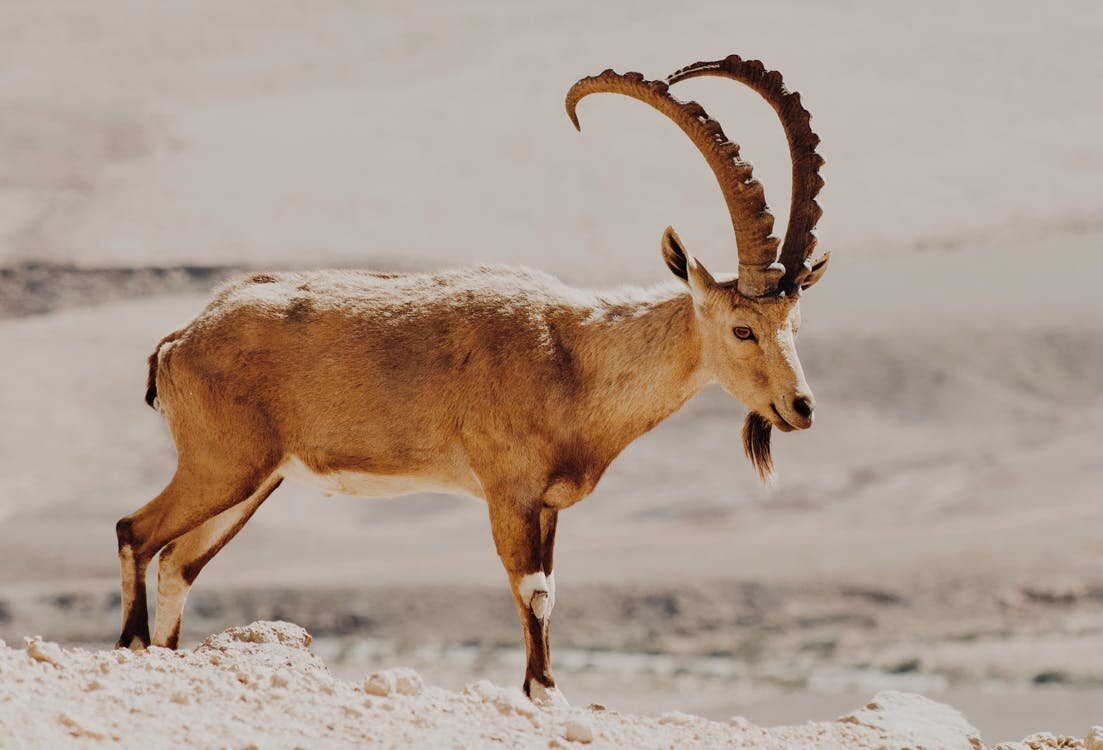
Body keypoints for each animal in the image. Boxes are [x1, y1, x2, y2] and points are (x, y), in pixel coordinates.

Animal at [118, 55, 829, 705]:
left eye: (796, 321)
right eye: (742, 328)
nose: (801, 408)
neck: (574, 360)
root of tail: (178, 340)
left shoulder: (545, 505)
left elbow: (550, 589)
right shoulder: (507, 492)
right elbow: (533, 592)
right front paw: (544, 693)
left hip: (250, 482)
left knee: (179, 561)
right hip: (220, 466)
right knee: (136, 531)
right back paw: (131, 644)